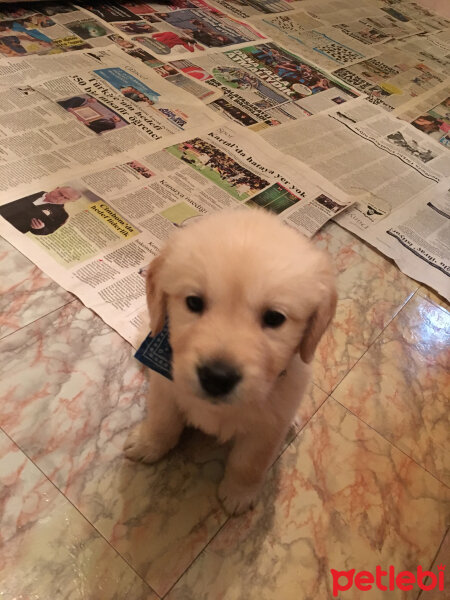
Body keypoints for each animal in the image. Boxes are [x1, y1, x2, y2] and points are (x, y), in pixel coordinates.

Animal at [125, 209, 336, 512]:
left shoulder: (267, 428)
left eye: (274, 318)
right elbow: (162, 421)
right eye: (193, 302)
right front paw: (148, 444)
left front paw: (238, 493)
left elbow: (249, 463)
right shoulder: (166, 390)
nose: (217, 377)